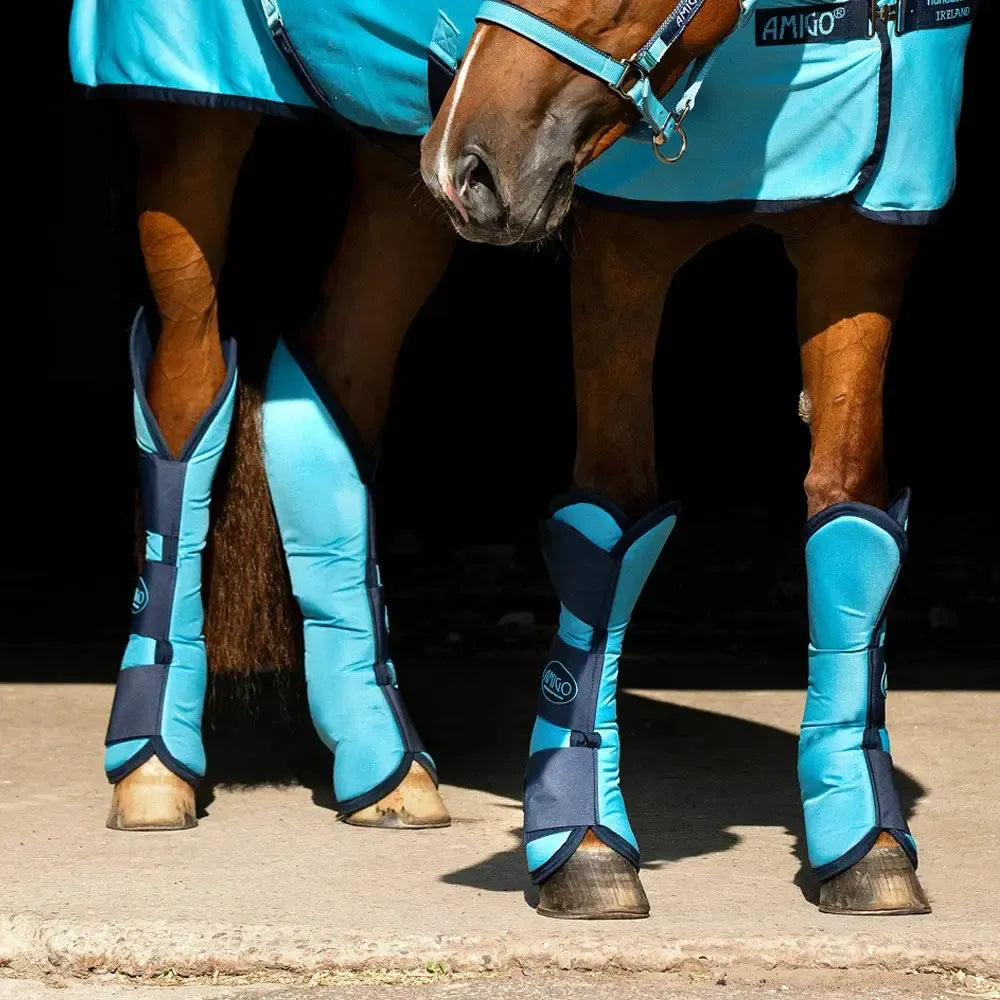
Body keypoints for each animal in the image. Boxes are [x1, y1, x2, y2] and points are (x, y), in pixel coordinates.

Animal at [69, 0, 970, 920]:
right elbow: (611, 520)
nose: (464, 164)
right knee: (185, 400)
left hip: (395, 178)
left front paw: (869, 846)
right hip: (195, 137)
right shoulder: (627, 249)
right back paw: (153, 764)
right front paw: (585, 846)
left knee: (328, 396)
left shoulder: (861, 243)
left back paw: (385, 770)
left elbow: (850, 510)